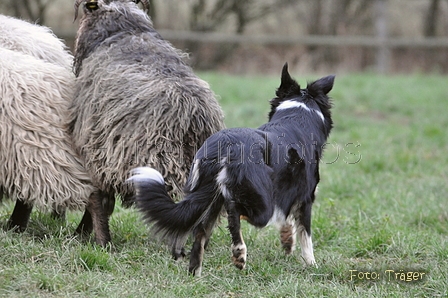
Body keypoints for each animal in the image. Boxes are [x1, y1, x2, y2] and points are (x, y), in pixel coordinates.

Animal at [128, 64, 334, 276]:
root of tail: (225, 146)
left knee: (200, 230)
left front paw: (287, 240)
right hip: (260, 204)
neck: (296, 116)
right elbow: (305, 236)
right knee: (235, 213)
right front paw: (311, 264)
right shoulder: (305, 198)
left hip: (209, 196)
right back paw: (239, 253)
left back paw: (194, 272)